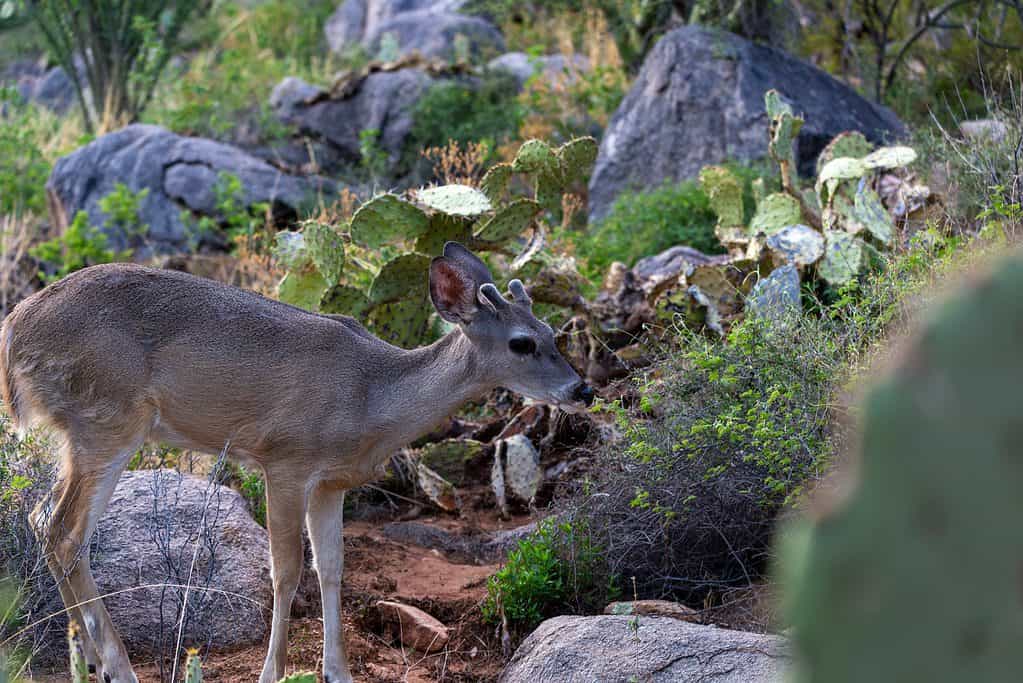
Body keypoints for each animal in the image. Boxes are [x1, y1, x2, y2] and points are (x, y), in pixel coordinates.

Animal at [1, 242, 593, 678]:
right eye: (522, 343)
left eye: (552, 333)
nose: (582, 389)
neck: (371, 397)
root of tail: (14, 331)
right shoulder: (284, 459)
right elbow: (285, 571)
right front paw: (273, 671)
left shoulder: (331, 483)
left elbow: (331, 568)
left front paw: (339, 671)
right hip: (108, 420)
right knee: (63, 532)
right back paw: (117, 667)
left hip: (85, 432)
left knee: (44, 521)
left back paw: (91, 660)